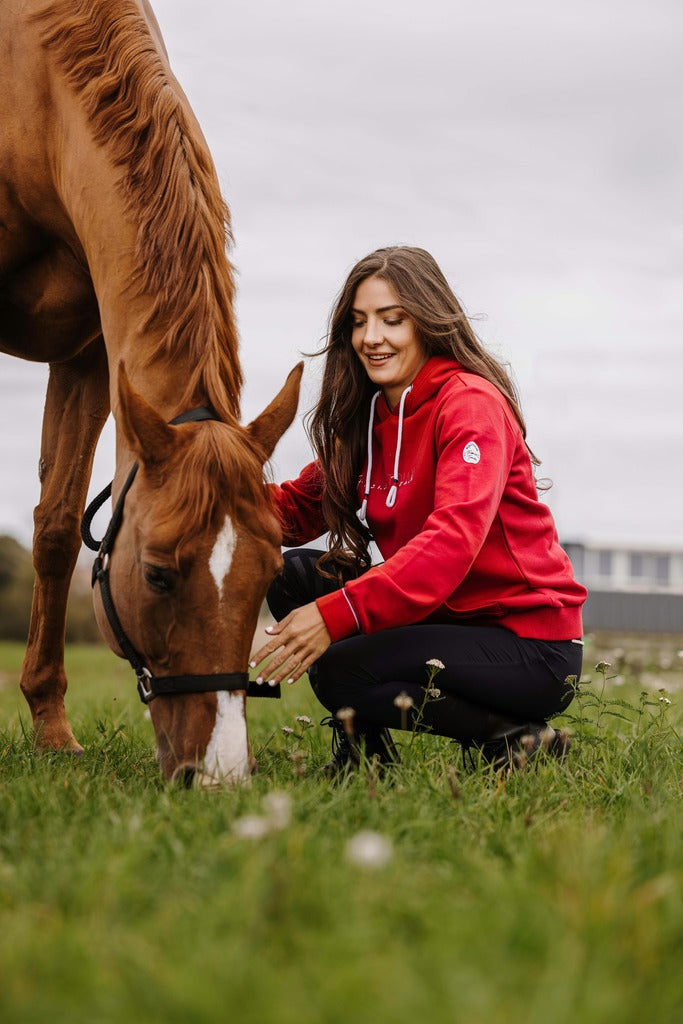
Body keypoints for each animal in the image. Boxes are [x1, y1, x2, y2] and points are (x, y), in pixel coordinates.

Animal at [0, 0, 301, 782]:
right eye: (159, 575)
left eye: (268, 575)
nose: (219, 775)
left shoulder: (88, 359)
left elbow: (54, 530)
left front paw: (51, 729)